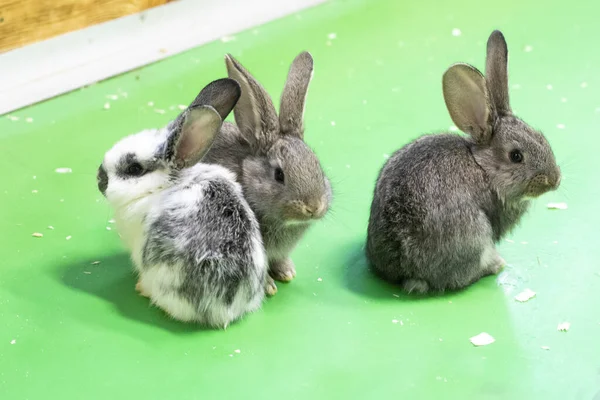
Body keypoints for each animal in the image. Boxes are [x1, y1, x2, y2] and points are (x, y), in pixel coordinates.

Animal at [366, 30, 564, 294]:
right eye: (516, 156)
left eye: (541, 137)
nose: (555, 180)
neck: (483, 167)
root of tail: (408, 271)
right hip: (475, 235)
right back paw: (496, 264)